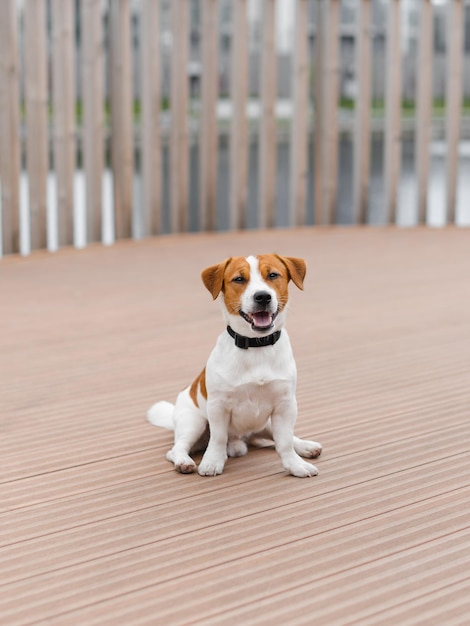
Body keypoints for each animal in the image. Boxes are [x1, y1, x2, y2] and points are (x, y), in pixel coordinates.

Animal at [149, 251, 322, 476]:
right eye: (239, 279)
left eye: (273, 275)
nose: (262, 296)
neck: (257, 346)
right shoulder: (218, 407)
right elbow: (218, 437)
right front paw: (212, 461)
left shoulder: (285, 406)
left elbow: (284, 442)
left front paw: (295, 465)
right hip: (194, 422)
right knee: (177, 448)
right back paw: (185, 461)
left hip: (266, 423)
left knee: (281, 439)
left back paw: (305, 446)